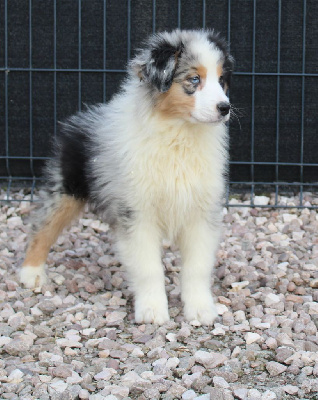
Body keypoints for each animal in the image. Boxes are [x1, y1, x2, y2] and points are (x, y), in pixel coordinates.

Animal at [19, 30, 234, 324]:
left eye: (222, 80)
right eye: (194, 79)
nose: (225, 108)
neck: (179, 136)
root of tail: (80, 116)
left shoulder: (201, 212)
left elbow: (197, 267)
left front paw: (200, 309)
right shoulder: (136, 213)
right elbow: (148, 268)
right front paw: (152, 311)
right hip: (64, 189)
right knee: (42, 227)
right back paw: (31, 274)